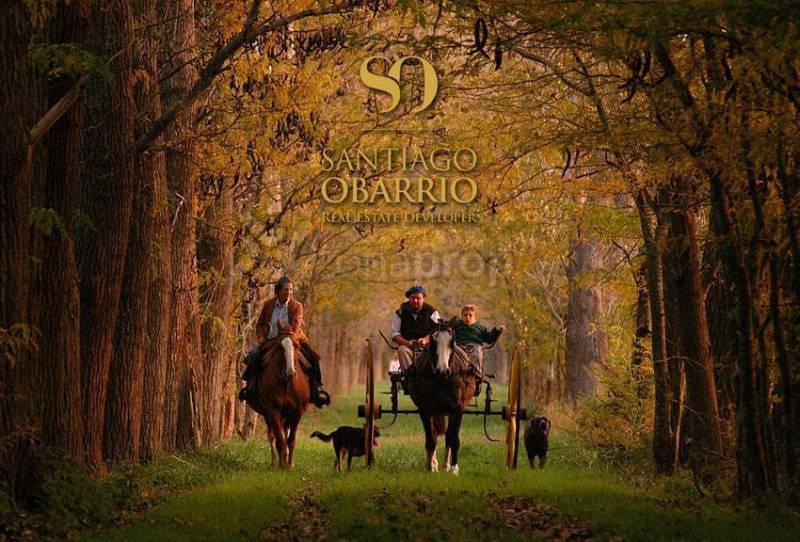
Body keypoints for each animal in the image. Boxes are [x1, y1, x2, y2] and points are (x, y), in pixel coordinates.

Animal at [248, 334, 310, 470]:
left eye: (297, 346)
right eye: (280, 348)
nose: (290, 372)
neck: (287, 385)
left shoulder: (297, 412)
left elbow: (291, 439)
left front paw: (290, 464)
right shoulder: (273, 411)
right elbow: (280, 440)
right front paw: (281, 464)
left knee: (285, 433)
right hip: (268, 415)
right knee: (272, 436)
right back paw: (274, 462)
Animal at [410, 324, 478, 476]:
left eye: (452, 343)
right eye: (433, 343)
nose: (442, 371)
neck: (440, 380)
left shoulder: (457, 409)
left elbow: (453, 439)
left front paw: (454, 468)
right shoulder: (425, 410)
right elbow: (431, 439)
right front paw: (429, 467)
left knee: (448, 436)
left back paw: (446, 465)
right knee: (436, 434)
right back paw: (434, 464)